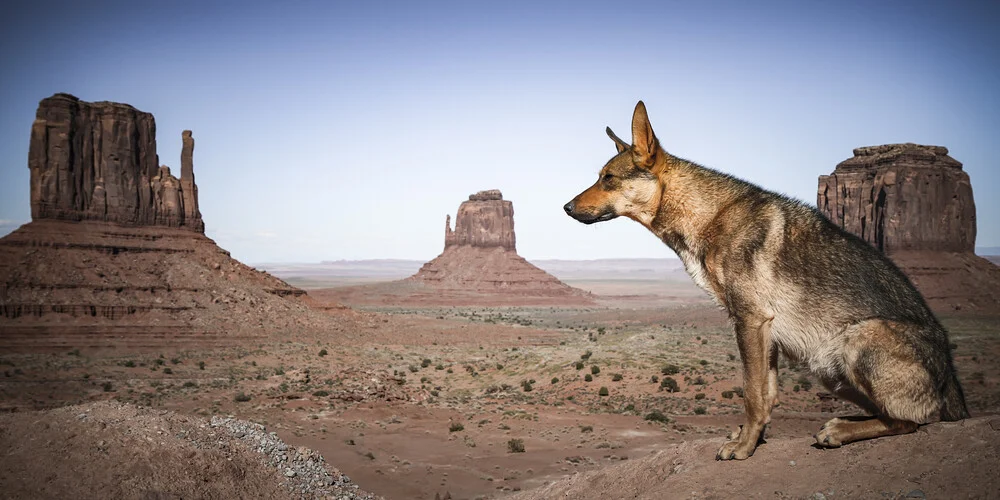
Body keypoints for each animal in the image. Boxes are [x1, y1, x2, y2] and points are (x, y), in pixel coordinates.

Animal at [568, 100, 964, 460]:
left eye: (608, 178)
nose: (566, 208)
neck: (709, 215)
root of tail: (951, 383)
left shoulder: (751, 319)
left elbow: (753, 394)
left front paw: (743, 448)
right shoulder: (765, 329)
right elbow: (768, 393)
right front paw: (752, 438)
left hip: (855, 341)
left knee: (910, 420)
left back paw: (838, 430)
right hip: (828, 369)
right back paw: (838, 424)